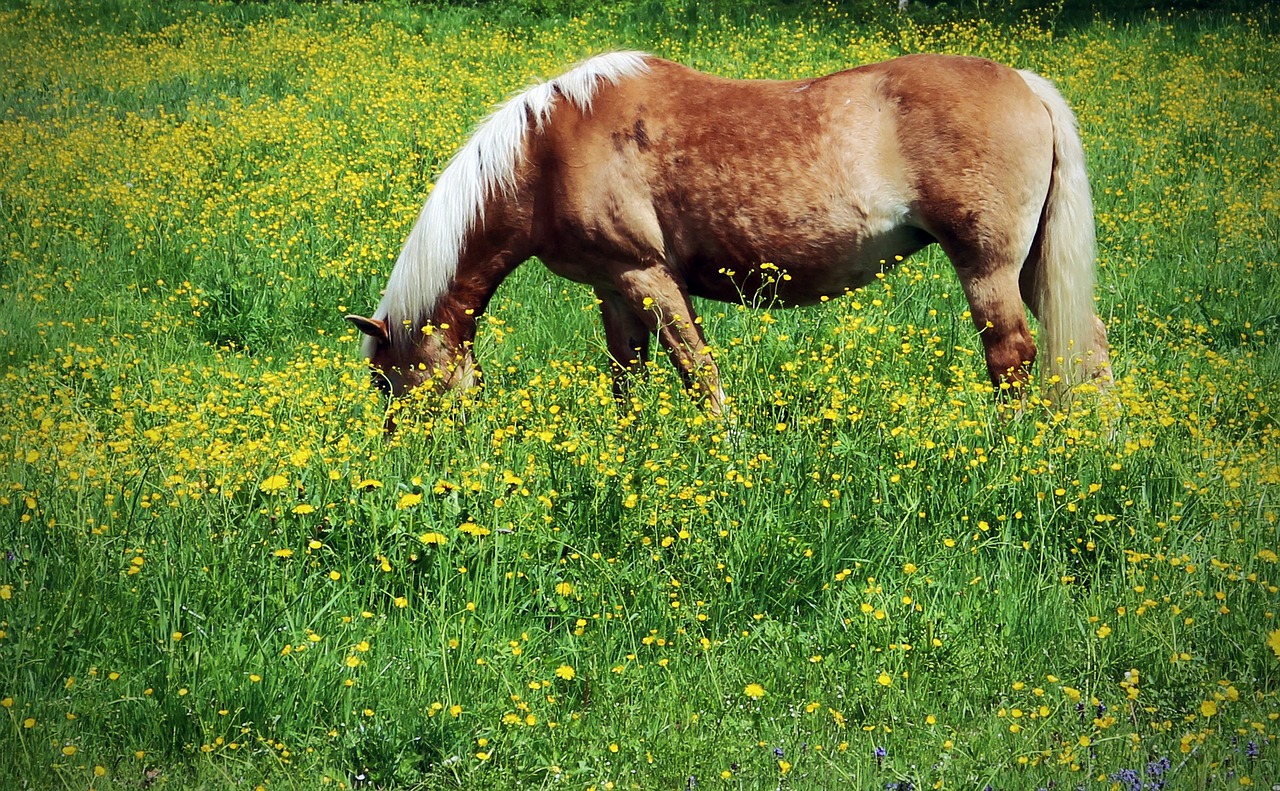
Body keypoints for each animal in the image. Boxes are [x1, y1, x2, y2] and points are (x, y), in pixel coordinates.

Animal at [348, 49, 1111, 414]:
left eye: (392, 382)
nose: (404, 461)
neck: (546, 152)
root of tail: (1027, 84)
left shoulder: (648, 276)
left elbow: (698, 375)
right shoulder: (613, 291)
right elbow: (628, 382)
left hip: (987, 268)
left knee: (1012, 358)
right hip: (1031, 267)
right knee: (1089, 349)